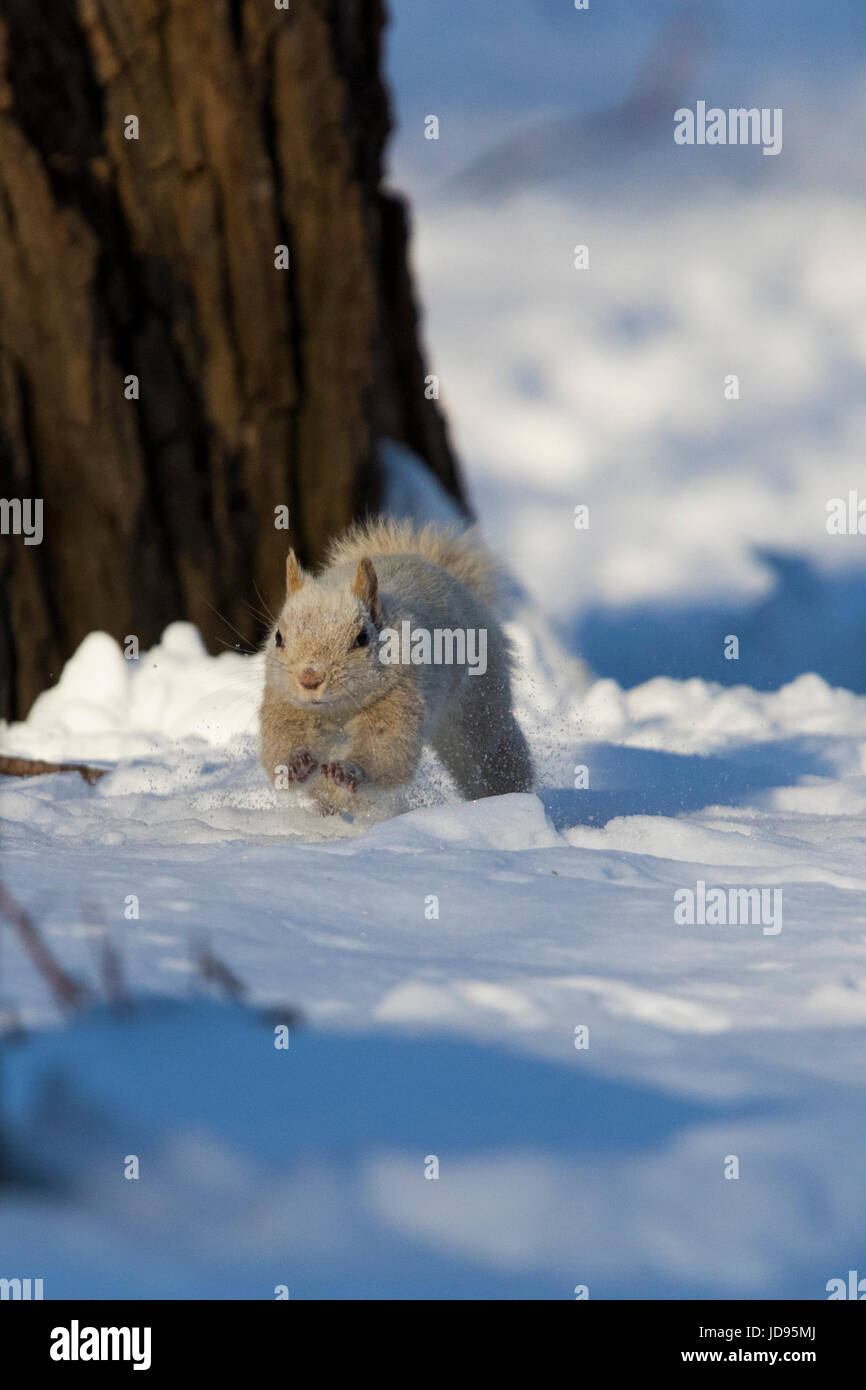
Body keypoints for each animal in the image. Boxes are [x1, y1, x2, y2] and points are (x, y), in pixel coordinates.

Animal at [257, 517, 530, 811]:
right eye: (278, 637)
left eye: (362, 638)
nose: (309, 678)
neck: (338, 709)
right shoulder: (285, 701)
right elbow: (281, 741)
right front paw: (295, 764)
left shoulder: (399, 693)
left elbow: (385, 748)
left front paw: (348, 771)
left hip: (478, 708)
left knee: (492, 753)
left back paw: (509, 798)